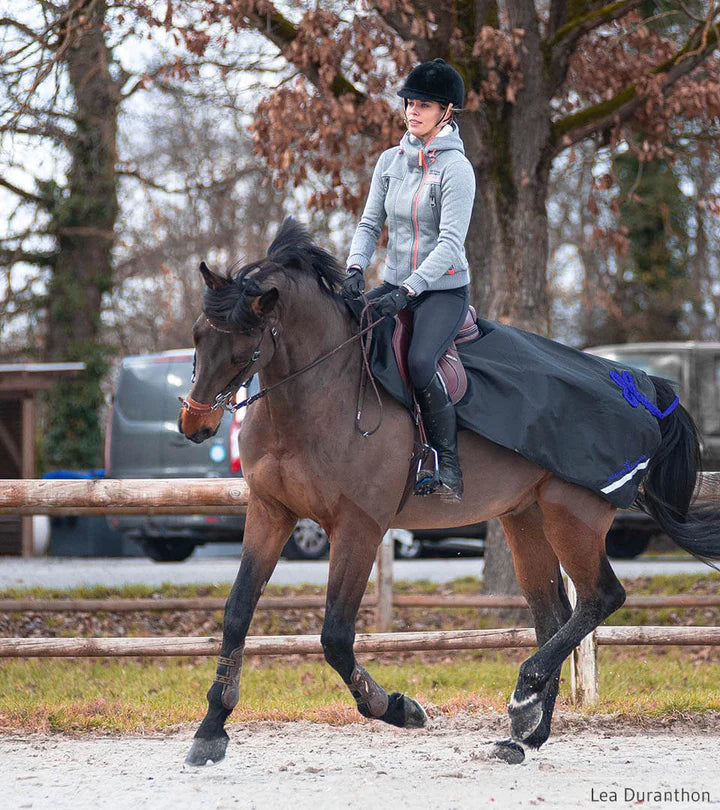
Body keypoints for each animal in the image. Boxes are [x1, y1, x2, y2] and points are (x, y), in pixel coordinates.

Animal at [179, 219, 720, 764]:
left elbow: (335, 636)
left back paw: (523, 699)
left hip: (574, 516)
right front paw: (212, 728)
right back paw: (525, 734)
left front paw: (397, 708)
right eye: (198, 336)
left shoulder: (358, 526)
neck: (319, 393)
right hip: (526, 518)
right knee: (555, 615)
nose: (194, 424)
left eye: (245, 348)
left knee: (601, 597)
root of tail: (643, 386)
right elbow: (236, 612)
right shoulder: (270, 512)